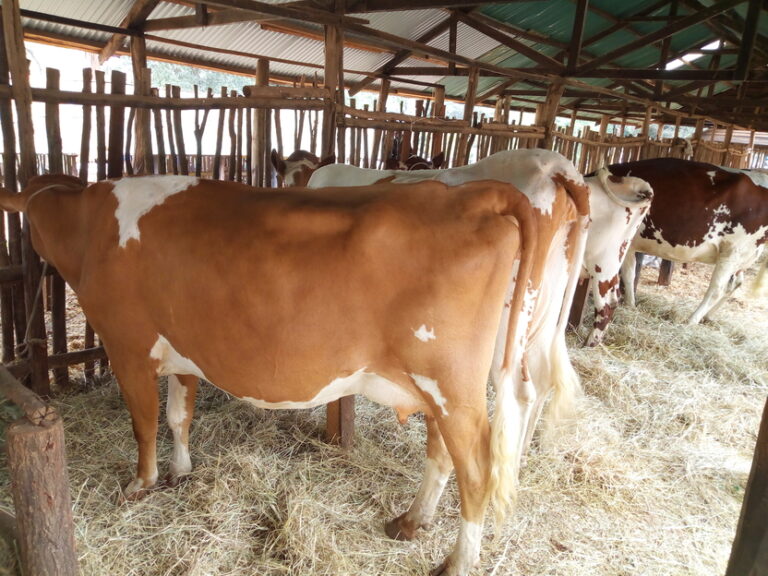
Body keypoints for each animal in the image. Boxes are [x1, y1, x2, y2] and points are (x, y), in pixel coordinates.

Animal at [1, 173, 551, 576]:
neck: (91, 223)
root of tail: (472, 192)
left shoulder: (127, 347)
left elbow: (145, 423)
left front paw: (142, 484)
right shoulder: (184, 353)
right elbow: (179, 416)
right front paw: (181, 471)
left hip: (452, 385)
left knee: (476, 467)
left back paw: (457, 561)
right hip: (441, 389)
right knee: (441, 454)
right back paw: (412, 522)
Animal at [611, 157, 768, 325]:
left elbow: (625, 273)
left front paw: (627, 303)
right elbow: (629, 273)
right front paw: (630, 304)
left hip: (733, 250)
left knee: (717, 288)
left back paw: (691, 320)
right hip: (745, 254)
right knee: (735, 283)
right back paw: (708, 316)